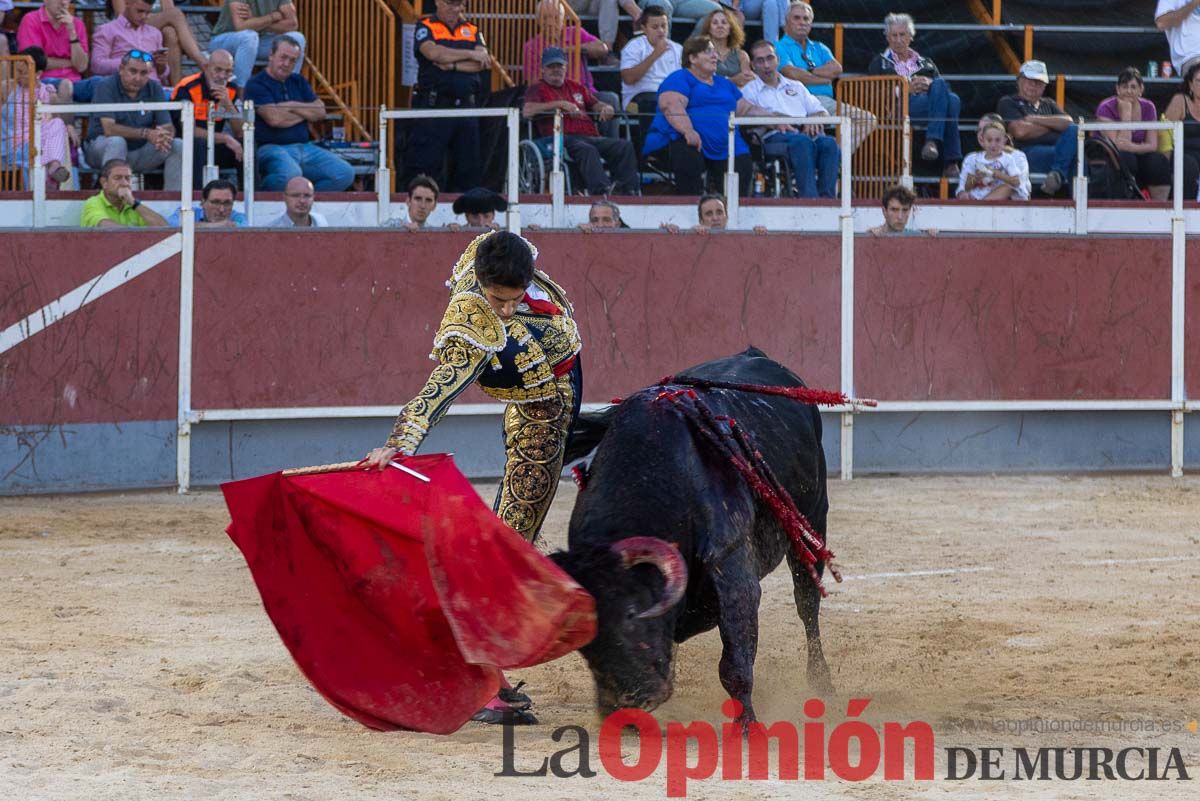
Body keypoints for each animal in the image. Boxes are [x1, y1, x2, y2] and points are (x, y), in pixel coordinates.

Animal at [552, 347, 835, 724]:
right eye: (584, 640)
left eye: (632, 615)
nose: (625, 703)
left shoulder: (734, 577)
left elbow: (734, 667)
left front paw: (748, 725)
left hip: (812, 520)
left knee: (807, 603)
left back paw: (821, 685)